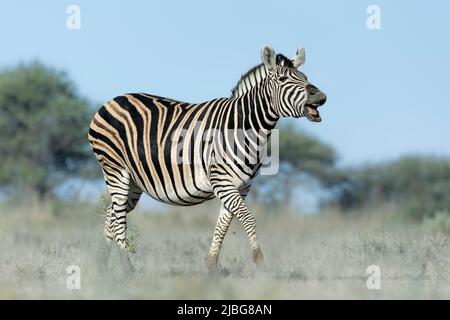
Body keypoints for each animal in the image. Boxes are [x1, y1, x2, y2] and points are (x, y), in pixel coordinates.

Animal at [89, 45, 326, 276]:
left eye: (305, 77)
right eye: (283, 79)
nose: (321, 96)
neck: (246, 127)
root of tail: (113, 100)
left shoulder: (241, 185)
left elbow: (224, 223)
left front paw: (211, 265)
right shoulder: (221, 180)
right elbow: (248, 218)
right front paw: (259, 261)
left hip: (134, 181)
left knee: (112, 213)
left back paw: (101, 265)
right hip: (115, 168)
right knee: (118, 218)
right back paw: (127, 269)